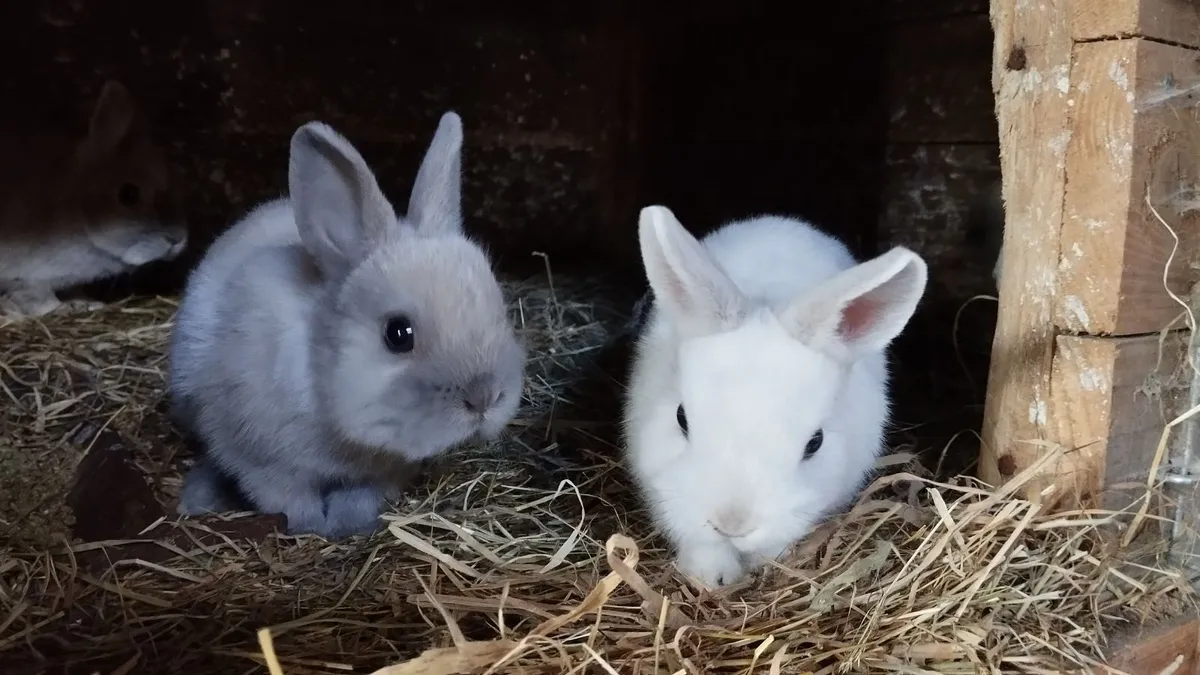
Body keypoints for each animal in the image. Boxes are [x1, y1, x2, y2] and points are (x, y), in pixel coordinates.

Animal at [0, 80, 188, 319]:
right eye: (129, 194)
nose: (177, 240)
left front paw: (85, 302)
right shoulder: (26, 276)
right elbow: (38, 298)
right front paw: (62, 308)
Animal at [167, 112, 526, 539]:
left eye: (499, 309)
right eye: (398, 334)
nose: (485, 398)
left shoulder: (381, 472)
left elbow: (359, 497)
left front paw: (349, 527)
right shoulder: (261, 462)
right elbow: (288, 499)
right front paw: (310, 528)